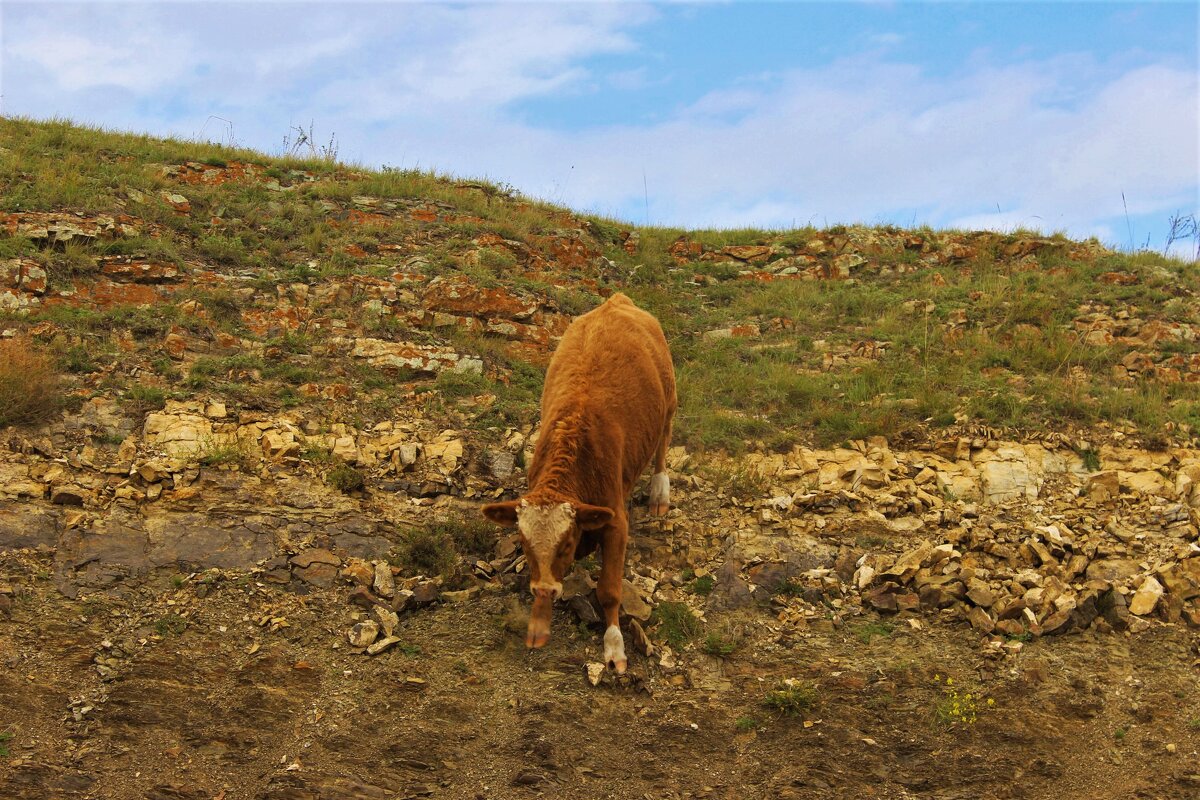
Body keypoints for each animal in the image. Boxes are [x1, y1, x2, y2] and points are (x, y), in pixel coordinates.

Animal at [482, 291, 681, 671]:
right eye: (524, 545)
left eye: (565, 545)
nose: (546, 590)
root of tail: (616, 300)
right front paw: (538, 626)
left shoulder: (615, 521)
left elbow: (610, 591)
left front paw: (614, 647)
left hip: (669, 400)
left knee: (663, 441)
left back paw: (659, 493)